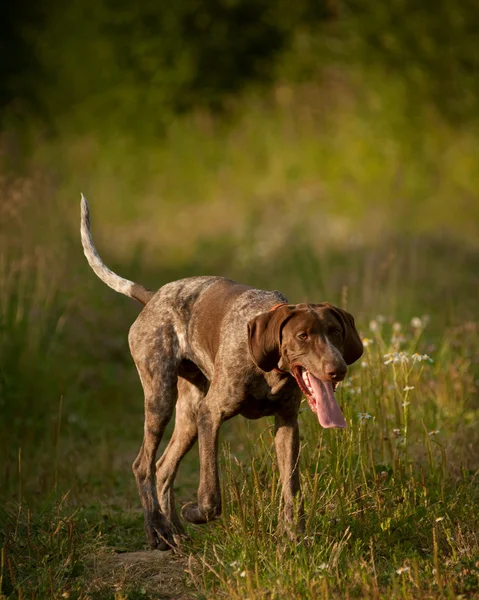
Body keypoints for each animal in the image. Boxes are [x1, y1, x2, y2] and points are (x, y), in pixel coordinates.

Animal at [79, 196, 364, 548]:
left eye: (335, 332)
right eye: (303, 336)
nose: (337, 370)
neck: (269, 368)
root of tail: (153, 296)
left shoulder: (286, 424)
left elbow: (291, 489)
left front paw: (293, 536)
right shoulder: (210, 414)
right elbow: (211, 495)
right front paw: (195, 512)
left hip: (188, 415)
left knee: (163, 467)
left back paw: (174, 530)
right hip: (161, 400)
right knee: (142, 465)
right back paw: (157, 529)